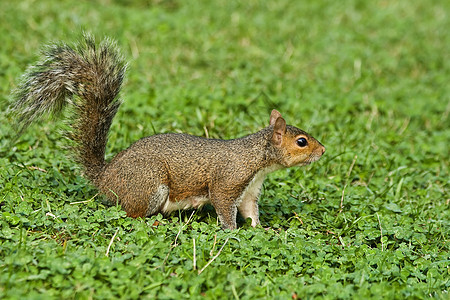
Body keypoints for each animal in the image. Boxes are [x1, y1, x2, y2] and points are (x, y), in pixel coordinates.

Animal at [8, 34, 326, 230]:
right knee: (131, 212)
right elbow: (224, 207)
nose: (323, 150)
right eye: (302, 142)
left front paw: (261, 229)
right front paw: (232, 232)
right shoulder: (228, 182)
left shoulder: (249, 190)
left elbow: (251, 212)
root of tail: (105, 176)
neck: (257, 158)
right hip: (149, 185)